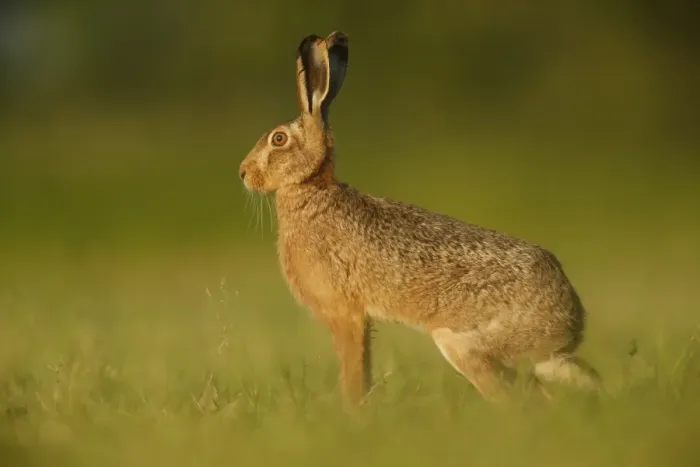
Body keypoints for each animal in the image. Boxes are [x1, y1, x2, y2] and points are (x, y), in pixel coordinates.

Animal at [238, 31, 601, 406]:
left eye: (278, 139)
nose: (243, 173)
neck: (311, 187)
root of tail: (570, 315)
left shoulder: (346, 312)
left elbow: (354, 370)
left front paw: (352, 410)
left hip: (461, 342)